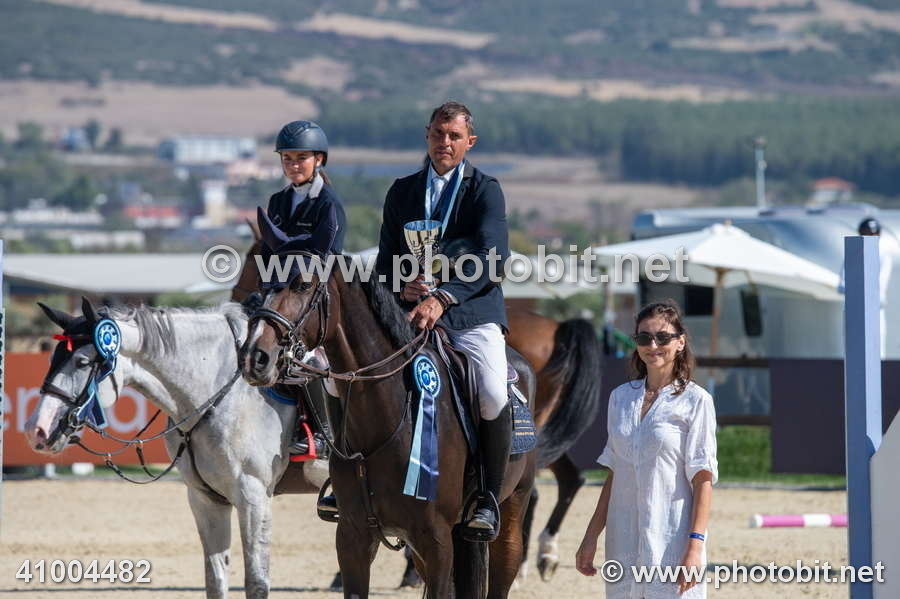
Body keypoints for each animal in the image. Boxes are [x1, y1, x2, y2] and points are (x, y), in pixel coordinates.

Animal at [24, 298, 329, 599]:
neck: (222, 393)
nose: (36, 429)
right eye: (52, 359)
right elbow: (215, 580)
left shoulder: (253, 497)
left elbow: (256, 583)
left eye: (83, 362)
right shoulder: (206, 499)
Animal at [232, 239, 603, 582]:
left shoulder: (435, 540)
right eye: (264, 284)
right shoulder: (353, 537)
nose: (254, 356)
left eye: (302, 285)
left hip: (508, 512)